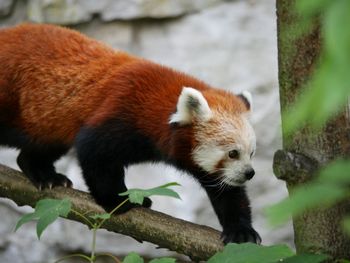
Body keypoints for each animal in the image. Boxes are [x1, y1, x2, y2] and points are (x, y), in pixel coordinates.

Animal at [0, 23, 260, 244]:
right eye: (233, 153)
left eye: (251, 153)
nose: (250, 173)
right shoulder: (121, 113)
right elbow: (95, 154)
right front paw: (118, 201)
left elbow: (226, 191)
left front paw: (240, 230)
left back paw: (43, 173)